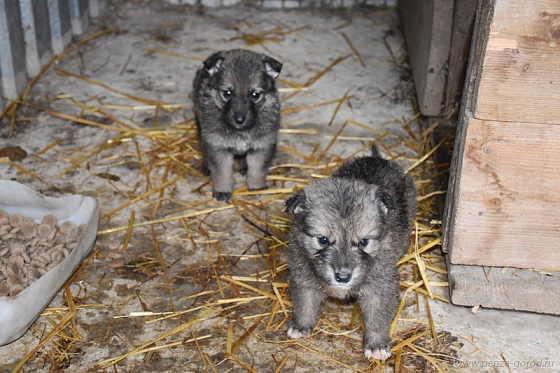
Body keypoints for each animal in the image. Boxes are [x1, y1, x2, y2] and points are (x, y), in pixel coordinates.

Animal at [192, 49, 282, 202]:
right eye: (227, 93)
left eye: (255, 95)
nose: (239, 120)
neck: (241, 131)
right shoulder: (218, 146)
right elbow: (222, 172)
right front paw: (222, 190)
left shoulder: (262, 145)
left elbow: (258, 169)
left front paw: (256, 186)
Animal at [284, 145, 416, 360]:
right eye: (323, 240)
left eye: (363, 242)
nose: (343, 277)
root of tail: (376, 158)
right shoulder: (303, 277)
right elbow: (305, 304)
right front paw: (301, 325)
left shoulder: (380, 287)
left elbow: (377, 318)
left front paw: (377, 344)